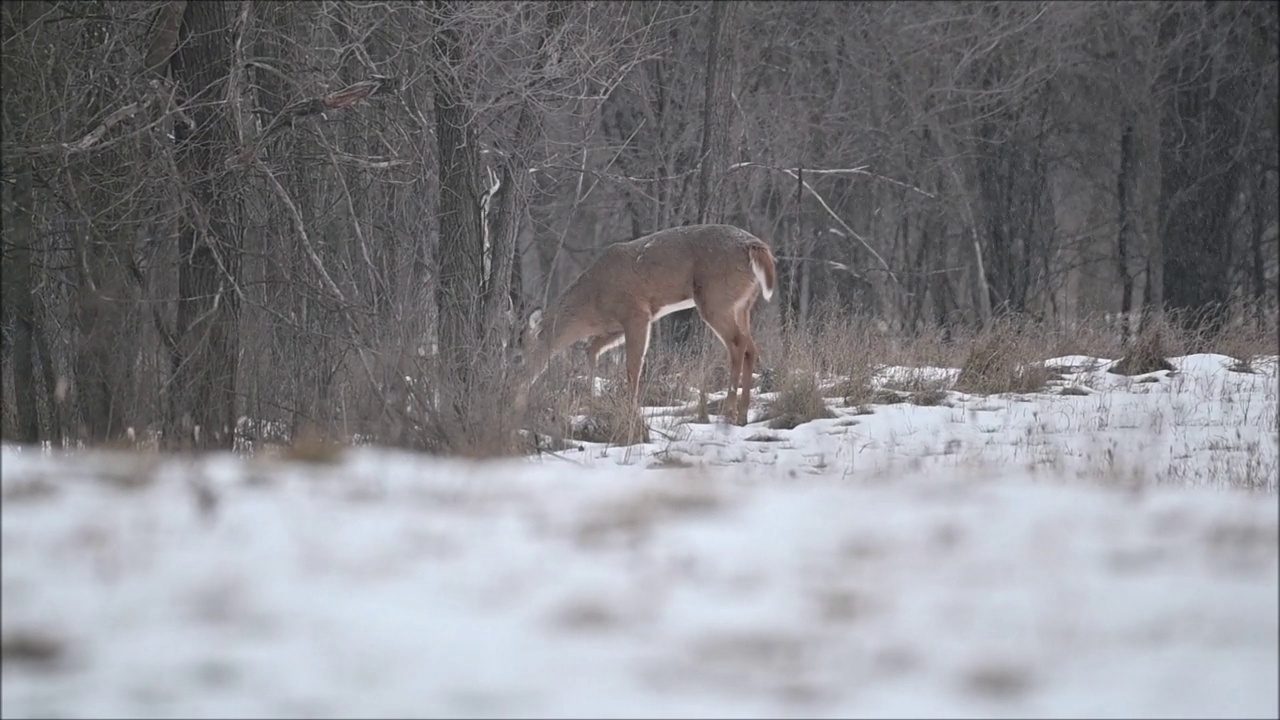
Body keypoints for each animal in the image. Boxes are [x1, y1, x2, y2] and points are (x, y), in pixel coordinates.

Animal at [512, 224, 773, 422]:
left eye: (519, 356)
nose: (516, 389)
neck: (592, 305)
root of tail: (755, 247)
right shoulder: (615, 327)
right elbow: (592, 350)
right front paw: (592, 398)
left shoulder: (636, 312)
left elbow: (633, 366)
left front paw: (631, 409)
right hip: (743, 304)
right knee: (751, 348)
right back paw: (743, 415)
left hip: (715, 298)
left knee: (737, 343)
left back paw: (729, 412)